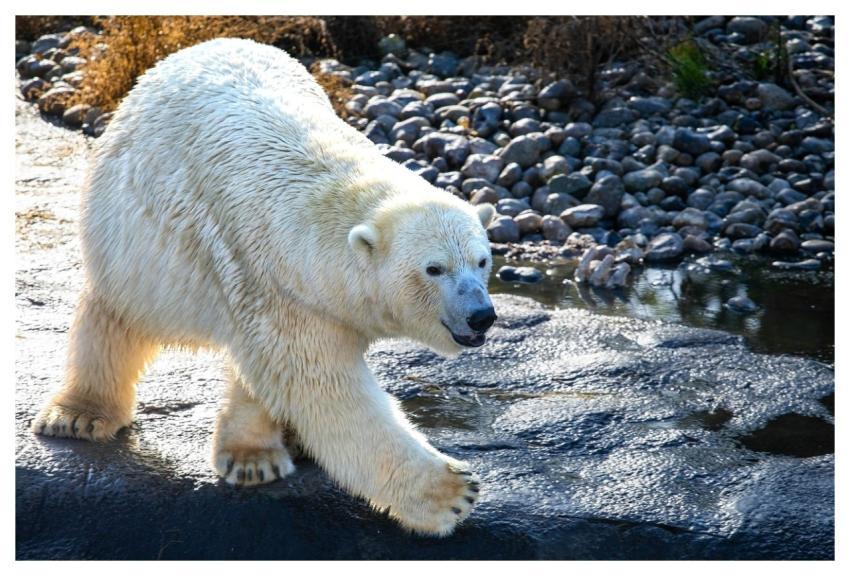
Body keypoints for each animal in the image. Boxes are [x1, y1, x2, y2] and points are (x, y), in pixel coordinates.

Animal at [31, 38, 498, 537]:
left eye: (482, 260)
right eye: (434, 268)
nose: (481, 315)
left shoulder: (281, 292)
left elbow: (273, 375)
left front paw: (256, 456)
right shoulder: (270, 280)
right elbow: (326, 391)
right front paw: (452, 492)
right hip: (129, 235)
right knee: (117, 314)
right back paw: (79, 415)